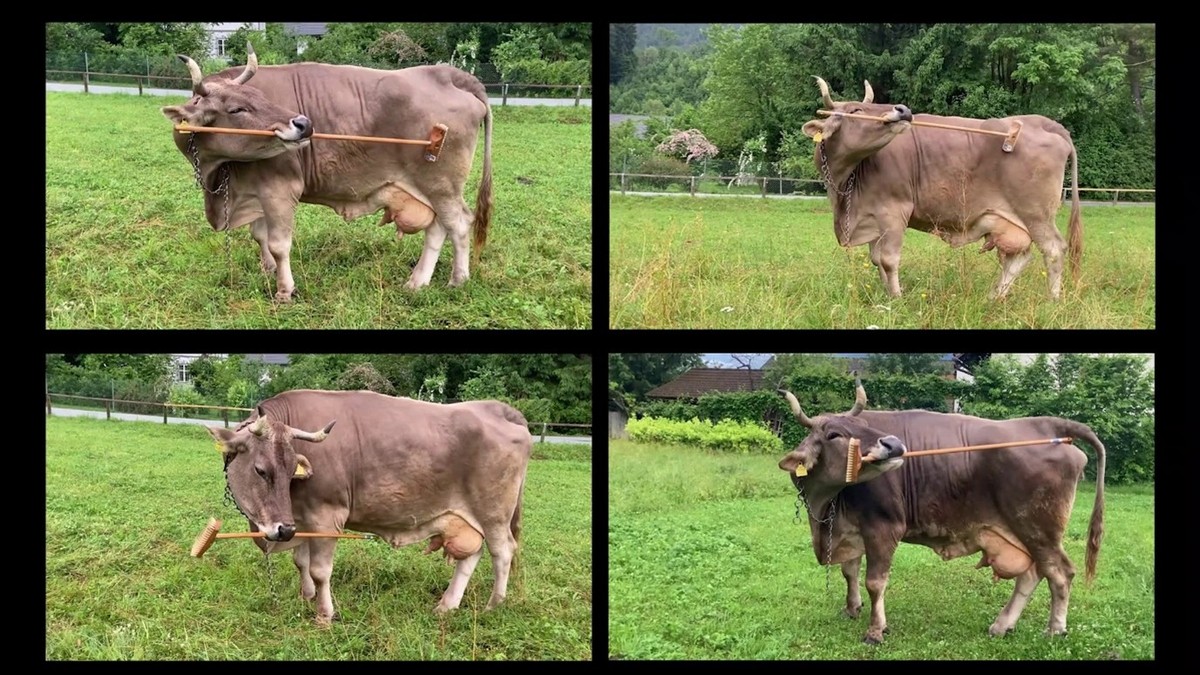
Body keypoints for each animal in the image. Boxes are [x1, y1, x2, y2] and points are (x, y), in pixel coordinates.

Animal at [161, 44, 493, 302]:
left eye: (262, 97)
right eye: (236, 109)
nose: (304, 123)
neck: (217, 176)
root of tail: (449, 74)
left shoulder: (279, 189)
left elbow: (279, 244)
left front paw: (284, 290)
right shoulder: (254, 191)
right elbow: (259, 236)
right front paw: (267, 270)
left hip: (441, 185)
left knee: (458, 224)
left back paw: (458, 280)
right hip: (429, 190)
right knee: (437, 227)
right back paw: (417, 281)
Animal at [206, 389, 530, 626]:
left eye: (289, 471)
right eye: (261, 470)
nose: (282, 530)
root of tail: (496, 408)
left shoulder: (326, 516)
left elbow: (320, 571)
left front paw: (324, 615)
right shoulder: (301, 518)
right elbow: (301, 562)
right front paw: (305, 596)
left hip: (494, 513)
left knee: (502, 552)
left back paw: (494, 605)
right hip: (467, 518)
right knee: (472, 555)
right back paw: (447, 605)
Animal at [774, 381, 1105, 644]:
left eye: (865, 427)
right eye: (833, 434)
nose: (893, 444)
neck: (826, 504)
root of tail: (1047, 425)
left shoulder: (883, 527)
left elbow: (875, 582)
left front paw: (876, 630)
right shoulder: (850, 528)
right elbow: (849, 571)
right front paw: (851, 608)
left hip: (1039, 529)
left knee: (1060, 573)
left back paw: (1054, 629)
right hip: (1024, 533)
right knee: (1033, 573)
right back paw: (1002, 625)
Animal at [801, 77, 1082, 300]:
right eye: (857, 109)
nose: (903, 109)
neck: (845, 185)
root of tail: (1045, 123)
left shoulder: (894, 211)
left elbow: (888, 260)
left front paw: (896, 299)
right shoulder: (872, 217)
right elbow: (875, 259)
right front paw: (886, 295)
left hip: (1036, 214)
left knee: (1054, 250)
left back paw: (1052, 300)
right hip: (1010, 220)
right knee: (1019, 257)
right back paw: (993, 297)